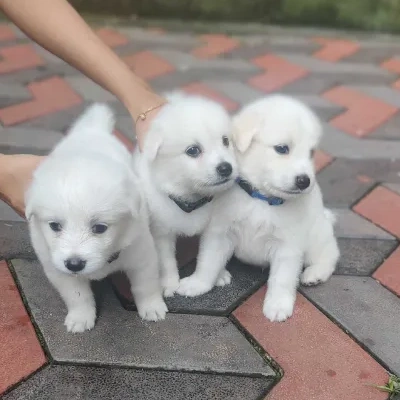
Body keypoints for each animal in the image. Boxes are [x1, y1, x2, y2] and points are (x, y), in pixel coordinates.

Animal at [25, 102, 167, 332]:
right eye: (54, 226)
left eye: (100, 228)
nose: (74, 264)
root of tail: (92, 129)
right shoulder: (58, 270)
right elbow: (77, 296)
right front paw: (80, 317)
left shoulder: (142, 255)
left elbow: (146, 286)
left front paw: (152, 308)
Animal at [133, 94, 238, 296]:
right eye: (193, 150)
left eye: (225, 141)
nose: (226, 168)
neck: (192, 198)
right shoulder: (161, 231)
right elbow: (166, 261)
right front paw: (168, 284)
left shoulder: (215, 228)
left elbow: (210, 257)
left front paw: (215, 275)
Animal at [180, 94, 340, 322]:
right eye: (282, 148)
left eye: (311, 152)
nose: (305, 181)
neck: (261, 200)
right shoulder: (219, 233)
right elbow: (208, 262)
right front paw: (197, 284)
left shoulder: (287, 247)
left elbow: (282, 279)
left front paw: (278, 305)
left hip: (317, 237)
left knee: (329, 255)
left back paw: (314, 274)